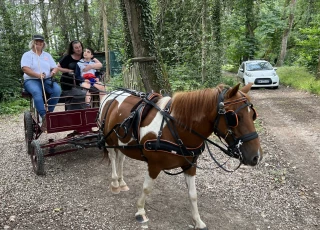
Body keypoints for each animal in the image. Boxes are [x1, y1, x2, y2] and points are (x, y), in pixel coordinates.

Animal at [97, 83, 262, 230]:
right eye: (234, 117)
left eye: (253, 115)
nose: (256, 157)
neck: (175, 128)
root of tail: (112, 94)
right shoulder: (154, 165)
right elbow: (147, 188)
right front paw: (140, 211)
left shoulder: (190, 165)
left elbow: (193, 194)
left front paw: (197, 221)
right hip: (109, 140)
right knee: (113, 158)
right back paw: (115, 183)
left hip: (122, 144)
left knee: (121, 158)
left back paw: (121, 182)